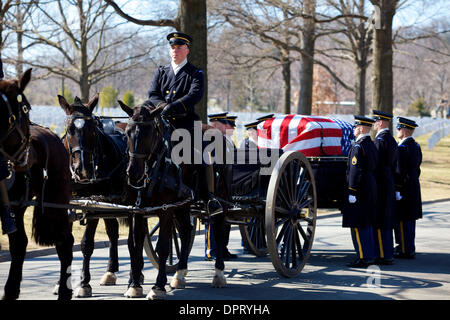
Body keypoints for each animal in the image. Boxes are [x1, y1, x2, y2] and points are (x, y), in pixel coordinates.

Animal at [0, 69, 73, 302]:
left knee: (64, 242)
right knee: (19, 243)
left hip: (54, 205)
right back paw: (11, 290)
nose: (24, 159)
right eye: (27, 108)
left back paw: (64, 289)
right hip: (18, 206)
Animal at [57, 94, 128, 298]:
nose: (82, 169)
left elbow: (86, 244)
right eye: (69, 129)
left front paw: (84, 283)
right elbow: (64, 244)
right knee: (113, 232)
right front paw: (61, 282)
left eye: (92, 130)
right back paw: (110, 271)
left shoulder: (93, 205)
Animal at [118, 100, 229, 300]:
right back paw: (180, 274)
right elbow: (134, 244)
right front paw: (135, 285)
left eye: (148, 133)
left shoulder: (166, 210)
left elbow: (163, 246)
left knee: (218, 230)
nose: (134, 173)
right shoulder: (137, 210)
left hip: (220, 200)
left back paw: (219, 274)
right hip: (183, 206)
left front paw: (158, 286)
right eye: (128, 132)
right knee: (185, 231)